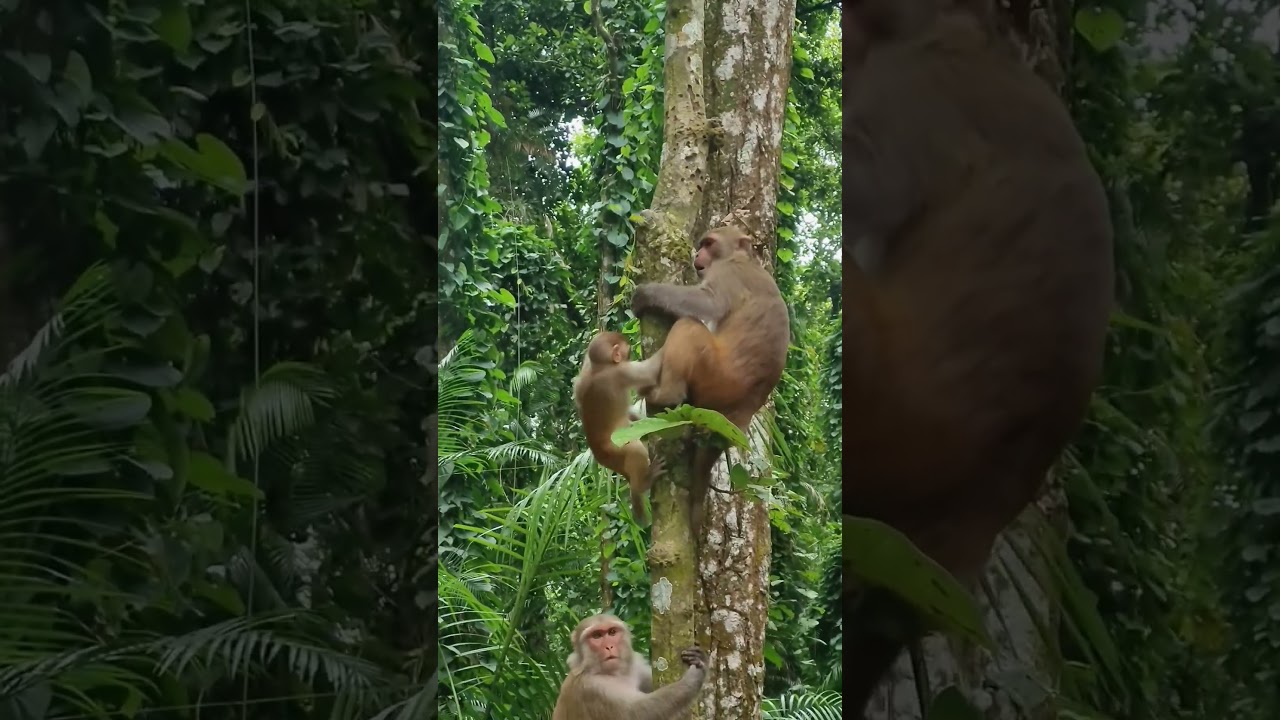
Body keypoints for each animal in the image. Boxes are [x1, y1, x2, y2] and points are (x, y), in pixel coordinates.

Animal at [551, 613, 708, 720]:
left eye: (612, 632)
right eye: (596, 636)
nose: (609, 646)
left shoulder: (635, 664)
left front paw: (701, 657)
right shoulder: (593, 689)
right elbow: (638, 713)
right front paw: (693, 679)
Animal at [572, 332, 665, 524]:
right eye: (627, 352)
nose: (628, 356)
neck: (599, 368)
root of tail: (599, 453)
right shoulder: (622, 372)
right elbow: (650, 373)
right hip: (616, 449)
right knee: (635, 449)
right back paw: (643, 484)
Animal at [630, 225, 791, 538]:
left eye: (709, 244)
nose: (697, 254)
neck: (745, 259)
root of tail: (740, 414)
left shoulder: (728, 273)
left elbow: (707, 302)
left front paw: (647, 294)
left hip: (716, 378)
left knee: (689, 327)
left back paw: (665, 395)